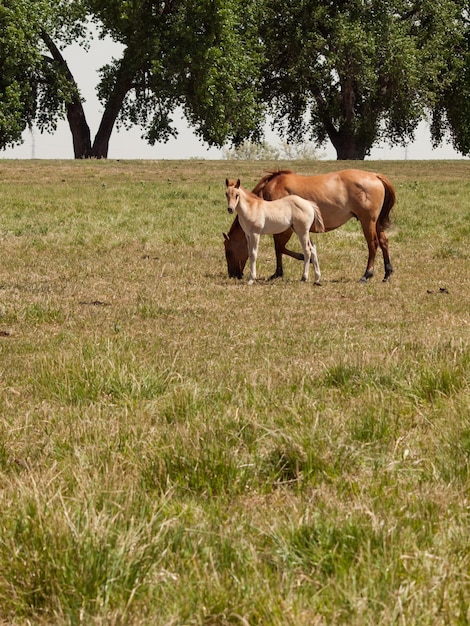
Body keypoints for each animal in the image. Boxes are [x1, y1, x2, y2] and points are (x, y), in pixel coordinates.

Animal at [224, 168, 396, 280]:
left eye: (229, 252)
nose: (233, 275)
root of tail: (375, 176)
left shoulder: (285, 229)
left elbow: (279, 248)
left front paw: (281, 271)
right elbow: (283, 249)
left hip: (368, 221)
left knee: (373, 244)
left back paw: (367, 274)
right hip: (376, 223)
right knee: (384, 242)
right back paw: (387, 273)